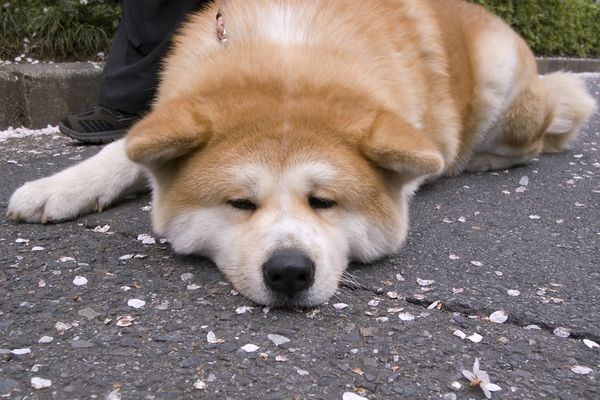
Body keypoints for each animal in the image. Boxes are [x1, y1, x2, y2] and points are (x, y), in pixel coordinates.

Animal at [4, 0, 596, 306]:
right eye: (241, 204)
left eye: (325, 202)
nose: (289, 271)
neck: (288, 58)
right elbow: (125, 150)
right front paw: (59, 187)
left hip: (504, 86)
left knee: (540, 133)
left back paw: (479, 156)